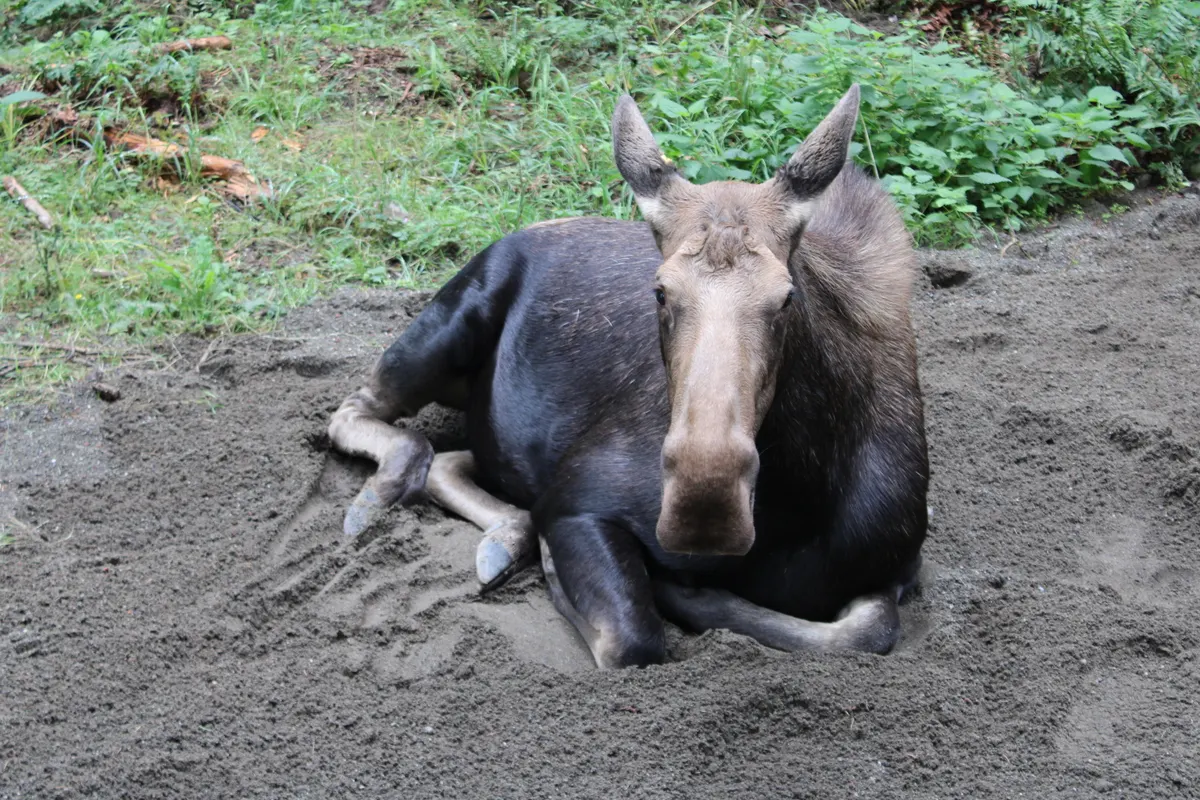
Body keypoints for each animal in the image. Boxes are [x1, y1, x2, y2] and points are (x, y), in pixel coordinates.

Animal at [326, 85, 929, 669]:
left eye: (787, 297)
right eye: (659, 290)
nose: (703, 507)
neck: (797, 507)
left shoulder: (901, 566)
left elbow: (870, 629)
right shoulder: (575, 503)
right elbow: (633, 640)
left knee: (453, 458)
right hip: (447, 326)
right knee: (363, 415)